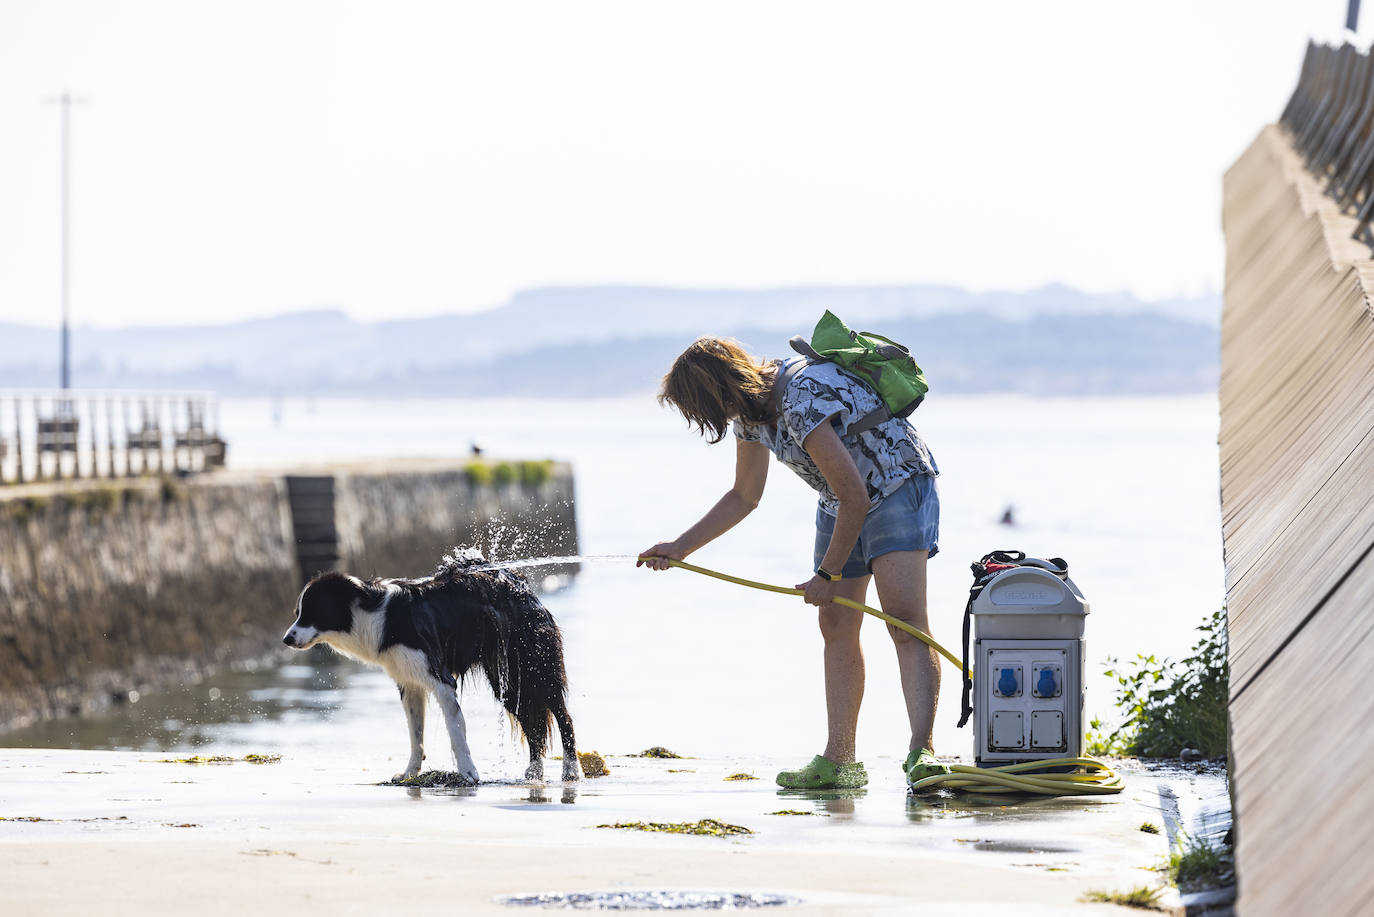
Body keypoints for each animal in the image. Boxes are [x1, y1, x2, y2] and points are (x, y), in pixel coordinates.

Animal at [281, 549, 577, 786]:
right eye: (297, 612)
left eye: (312, 611)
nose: (286, 639)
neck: (378, 617)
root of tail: (520, 583)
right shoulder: (409, 682)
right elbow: (416, 735)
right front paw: (409, 774)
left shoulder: (441, 679)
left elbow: (456, 731)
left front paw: (468, 773)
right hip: (508, 681)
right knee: (532, 723)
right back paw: (534, 772)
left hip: (534, 667)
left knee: (563, 717)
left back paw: (571, 771)